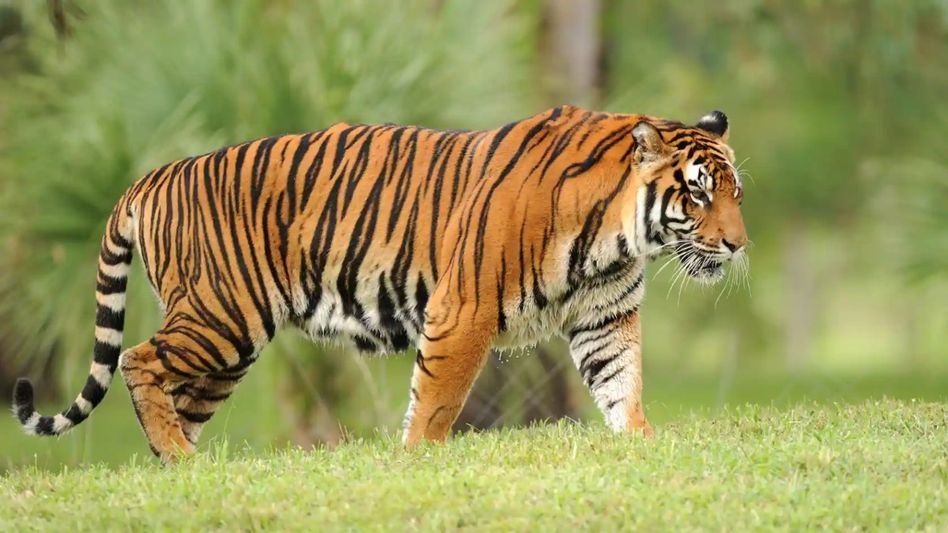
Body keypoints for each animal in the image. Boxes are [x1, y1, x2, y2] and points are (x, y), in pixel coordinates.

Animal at [12, 105, 748, 463]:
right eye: (698, 194)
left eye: (735, 193)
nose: (738, 245)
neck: (617, 235)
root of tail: (153, 174)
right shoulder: (463, 309)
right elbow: (437, 401)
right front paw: (418, 458)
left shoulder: (605, 319)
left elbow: (622, 386)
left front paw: (641, 443)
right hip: (220, 316)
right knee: (138, 360)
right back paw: (176, 457)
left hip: (227, 347)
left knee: (172, 395)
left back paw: (180, 467)